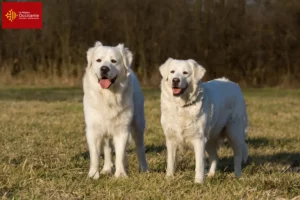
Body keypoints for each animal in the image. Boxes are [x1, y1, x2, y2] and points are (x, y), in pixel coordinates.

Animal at [82, 41, 148, 179]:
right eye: (98, 60)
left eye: (113, 61)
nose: (104, 69)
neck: (108, 96)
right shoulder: (93, 130)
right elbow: (95, 155)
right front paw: (93, 175)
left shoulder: (122, 129)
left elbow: (120, 154)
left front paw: (121, 175)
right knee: (107, 148)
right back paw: (107, 168)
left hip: (138, 124)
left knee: (140, 146)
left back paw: (144, 168)